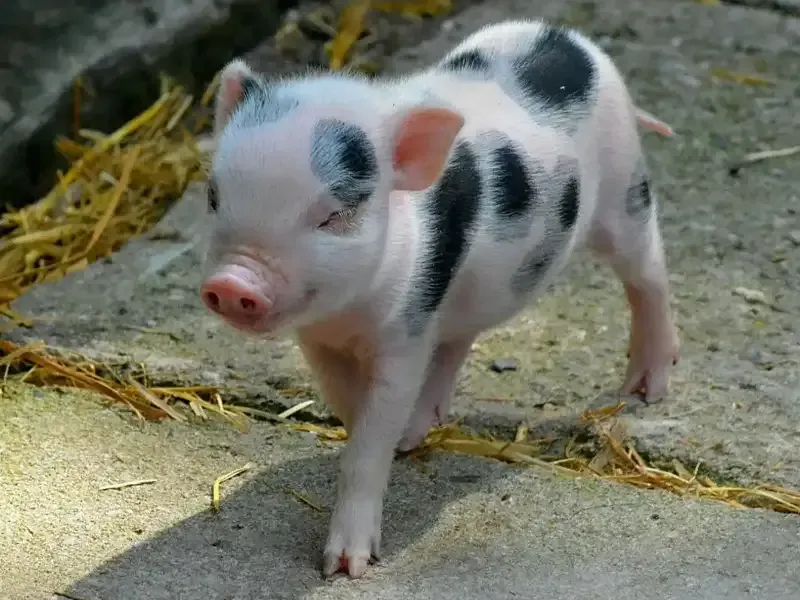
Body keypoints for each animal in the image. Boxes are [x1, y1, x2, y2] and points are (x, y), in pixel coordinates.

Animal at [199, 18, 680, 579]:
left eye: (333, 215)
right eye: (214, 197)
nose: (233, 282)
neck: (347, 314)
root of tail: (564, 35)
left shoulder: (405, 331)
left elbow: (371, 436)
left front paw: (345, 568)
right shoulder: (321, 340)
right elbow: (348, 404)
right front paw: (393, 438)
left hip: (625, 188)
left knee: (649, 272)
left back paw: (645, 390)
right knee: (458, 338)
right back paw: (420, 426)